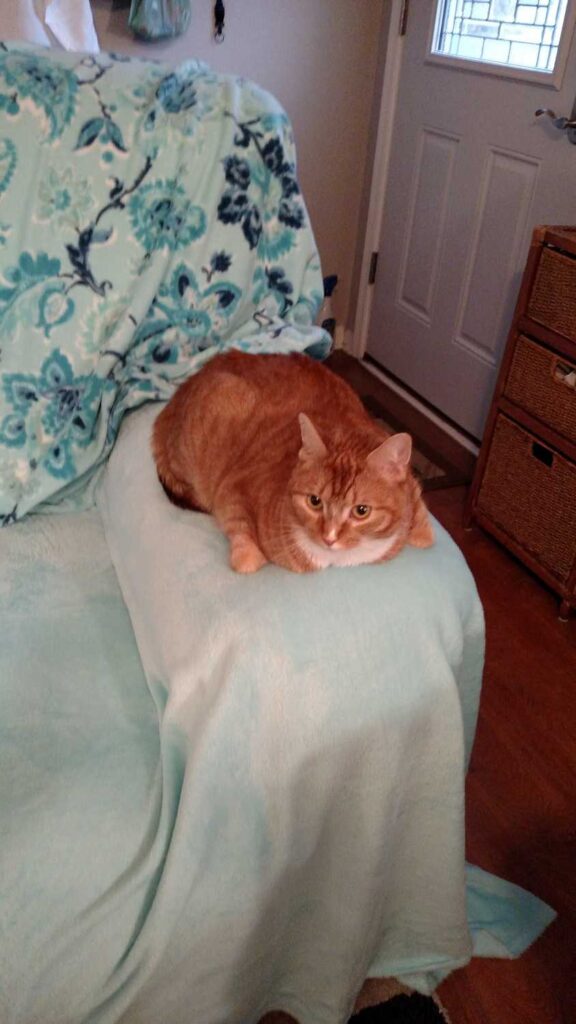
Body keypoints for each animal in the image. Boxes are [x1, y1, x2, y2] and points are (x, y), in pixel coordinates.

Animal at [150, 350, 432, 577]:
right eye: (314, 501)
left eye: (361, 511)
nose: (329, 537)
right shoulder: (230, 490)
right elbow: (243, 544)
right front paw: (249, 557)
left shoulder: (412, 490)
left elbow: (424, 529)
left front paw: (420, 531)